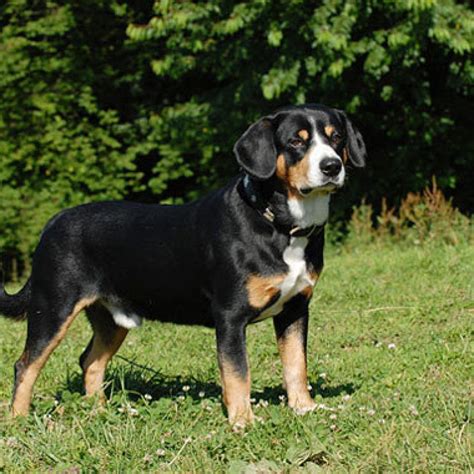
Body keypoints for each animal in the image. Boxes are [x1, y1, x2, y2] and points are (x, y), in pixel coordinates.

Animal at [0, 103, 366, 430]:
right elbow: (238, 374)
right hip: (52, 308)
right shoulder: (230, 317)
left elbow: (296, 365)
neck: (280, 225)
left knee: (89, 361)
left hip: (110, 320)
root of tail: (53, 223)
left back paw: (99, 413)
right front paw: (243, 422)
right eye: (295, 142)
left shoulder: (295, 310)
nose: (331, 166)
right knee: (25, 365)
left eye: (336, 138)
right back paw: (19, 421)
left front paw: (304, 408)